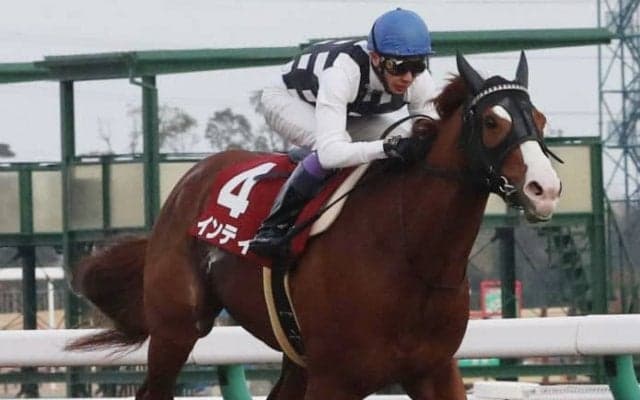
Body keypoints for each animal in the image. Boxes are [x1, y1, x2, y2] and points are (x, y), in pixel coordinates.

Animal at [67, 52, 561, 400]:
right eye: (492, 121)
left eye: (539, 119)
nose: (546, 188)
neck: (410, 256)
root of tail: (190, 179)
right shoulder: (336, 379)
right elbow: (331, 148)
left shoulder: (434, 370)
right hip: (176, 327)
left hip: (293, 355)